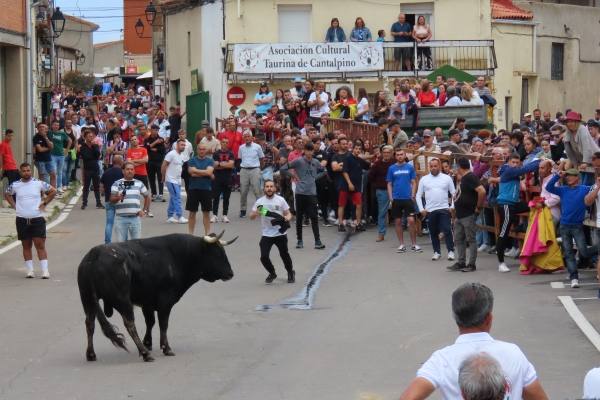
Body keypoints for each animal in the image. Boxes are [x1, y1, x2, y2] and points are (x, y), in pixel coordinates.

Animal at [79, 231, 237, 362]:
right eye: (217, 253)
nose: (230, 274)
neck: (179, 256)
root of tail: (95, 255)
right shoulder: (165, 301)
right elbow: (163, 324)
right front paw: (166, 348)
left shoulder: (147, 302)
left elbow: (151, 322)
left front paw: (148, 342)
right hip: (122, 299)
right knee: (129, 324)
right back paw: (145, 354)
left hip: (87, 299)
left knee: (90, 323)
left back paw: (91, 354)